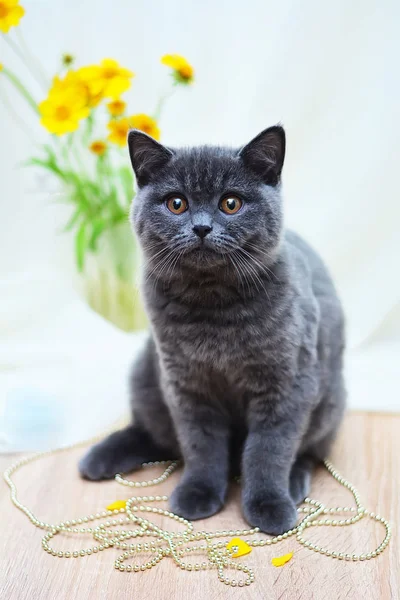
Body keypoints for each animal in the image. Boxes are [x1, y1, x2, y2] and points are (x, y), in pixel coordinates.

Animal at [79, 125, 346, 536]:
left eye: (231, 203)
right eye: (176, 203)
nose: (202, 227)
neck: (214, 310)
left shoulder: (287, 384)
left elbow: (269, 449)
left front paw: (269, 505)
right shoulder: (186, 384)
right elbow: (201, 445)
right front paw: (198, 492)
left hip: (329, 400)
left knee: (309, 450)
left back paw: (294, 483)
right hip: (145, 371)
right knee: (154, 434)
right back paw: (99, 458)